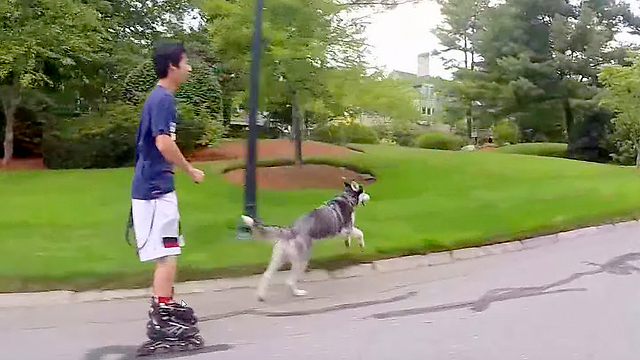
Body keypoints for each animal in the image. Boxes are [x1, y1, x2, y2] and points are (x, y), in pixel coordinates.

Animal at [241, 180, 370, 300]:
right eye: (363, 191)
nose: (369, 196)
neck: (347, 198)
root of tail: (291, 230)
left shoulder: (344, 231)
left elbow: (351, 236)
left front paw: (348, 243)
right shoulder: (345, 229)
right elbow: (359, 233)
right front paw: (361, 244)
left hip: (278, 258)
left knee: (267, 275)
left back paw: (261, 295)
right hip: (302, 260)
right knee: (289, 280)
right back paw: (298, 293)